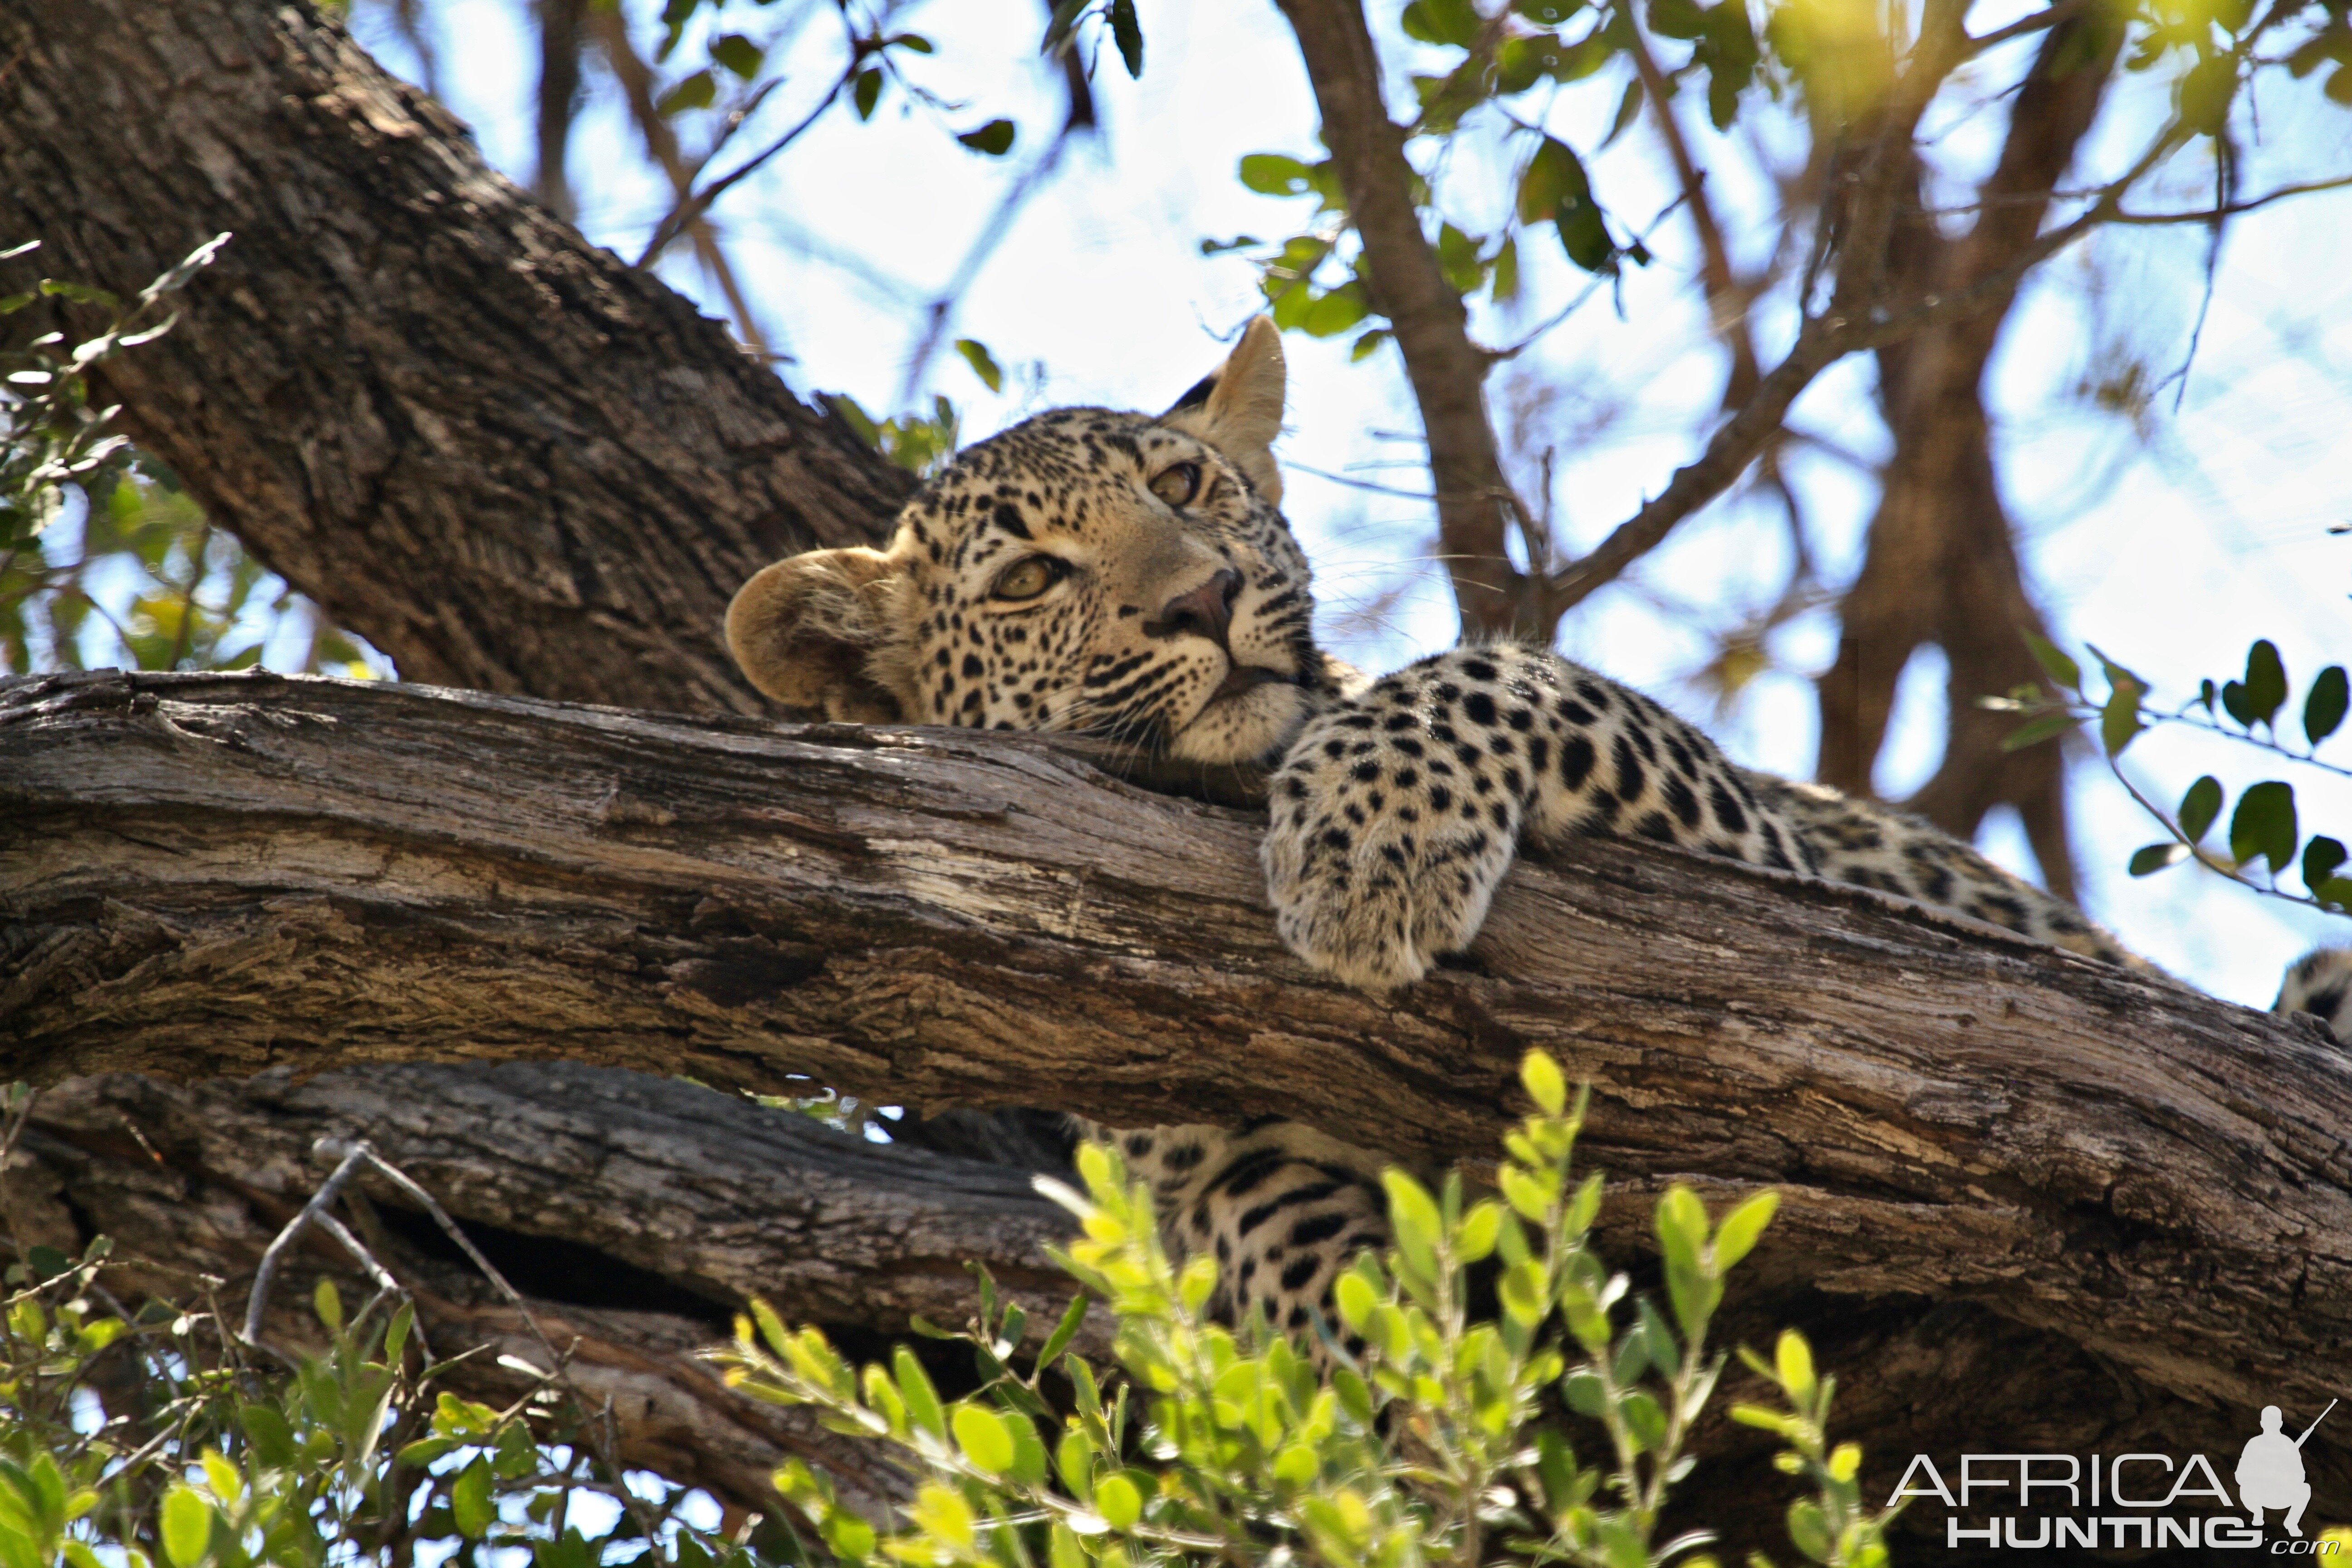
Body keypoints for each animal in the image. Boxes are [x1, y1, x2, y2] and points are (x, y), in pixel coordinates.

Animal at [724, 315, 2342, 1335]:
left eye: (1185, 485)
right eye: (1027, 584)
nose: (1201, 598)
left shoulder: (1771, 870)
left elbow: (1494, 667)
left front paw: (1368, 852)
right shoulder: (1175, 1116)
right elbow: (1283, 1234)